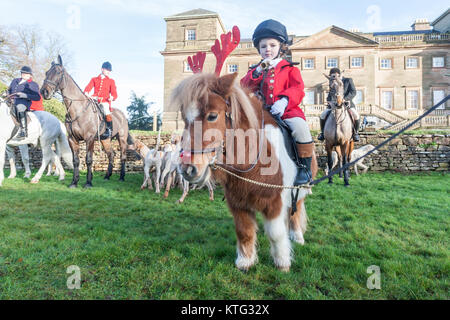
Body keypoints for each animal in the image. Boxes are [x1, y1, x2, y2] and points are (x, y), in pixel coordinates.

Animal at [40, 56, 134, 189]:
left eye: (58, 72)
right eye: (47, 72)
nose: (44, 92)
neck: (77, 110)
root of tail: (123, 115)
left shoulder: (89, 139)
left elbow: (89, 159)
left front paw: (88, 182)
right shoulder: (72, 139)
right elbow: (75, 161)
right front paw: (74, 182)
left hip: (122, 138)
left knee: (123, 156)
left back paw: (121, 177)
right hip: (105, 140)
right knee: (111, 154)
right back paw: (107, 176)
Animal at [174, 73, 318, 272]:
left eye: (212, 116)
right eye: (184, 117)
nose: (188, 168)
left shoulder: (274, 202)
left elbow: (275, 233)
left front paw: (282, 263)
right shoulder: (238, 202)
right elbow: (244, 231)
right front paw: (245, 262)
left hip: (300, 189)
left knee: (295, 211)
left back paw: (297, 236)